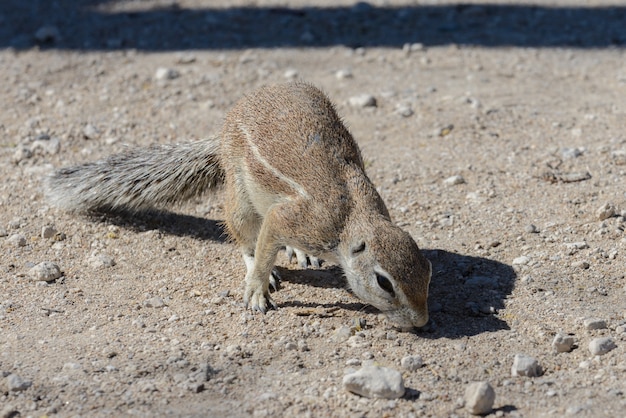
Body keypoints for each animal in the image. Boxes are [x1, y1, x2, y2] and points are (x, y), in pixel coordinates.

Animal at [46, 81, 432, 330]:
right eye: (384, 283)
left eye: (428, 272)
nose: (422, 322)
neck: (354, 218)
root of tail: (226, 125)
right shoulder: (294, 219)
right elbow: (263, 248)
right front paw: (257, 289)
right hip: (239, 197)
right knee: (244, 237)